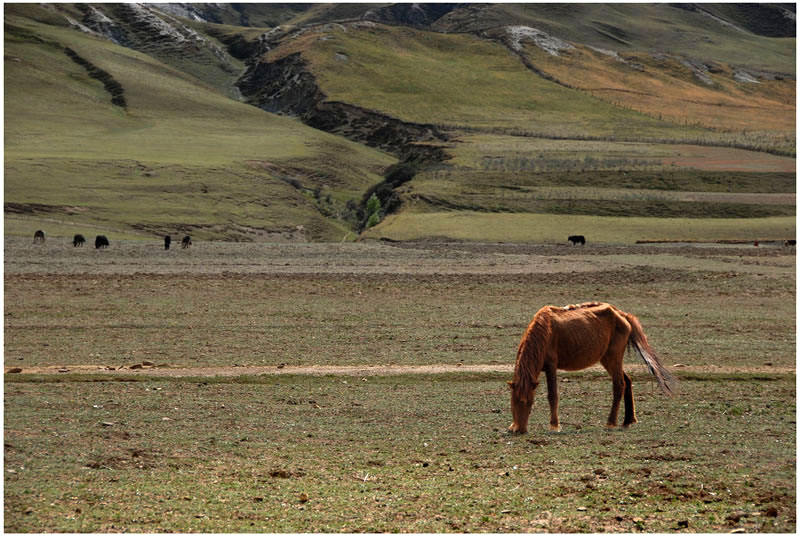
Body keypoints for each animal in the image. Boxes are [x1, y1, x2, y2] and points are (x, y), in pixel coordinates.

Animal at [506, 304, 676, 434]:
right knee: (627, 381)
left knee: (619, 385)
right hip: (607, 360)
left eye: (529, 402)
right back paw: (627, 420)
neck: (545, 331)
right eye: (513, 401)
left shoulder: (551, 366)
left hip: (613, 358)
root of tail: (622, 315)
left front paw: (554, 426)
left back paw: (610, 422)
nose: (519, 430)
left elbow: (552, 395)